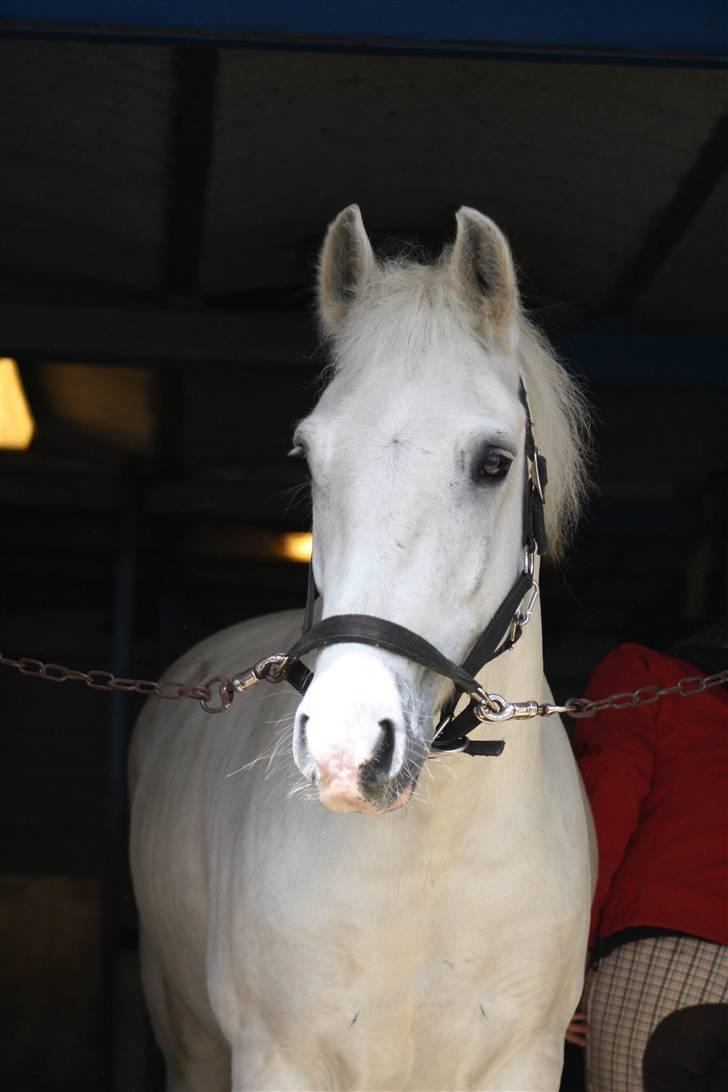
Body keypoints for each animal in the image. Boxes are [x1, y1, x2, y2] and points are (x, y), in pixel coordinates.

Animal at [130, 206, 598, 1092]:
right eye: (309, 456)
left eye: (495, 462)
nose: (347, 748)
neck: (431, 856)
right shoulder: (276, 1059)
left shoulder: (523, 1059)